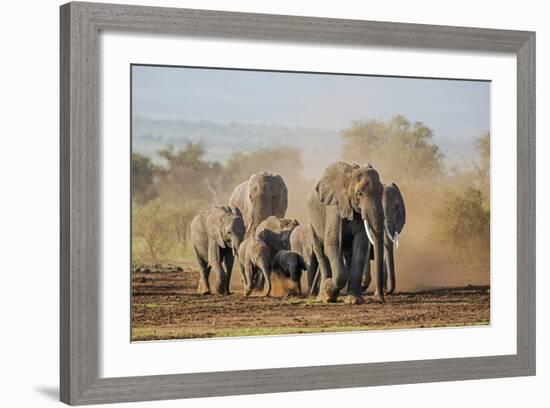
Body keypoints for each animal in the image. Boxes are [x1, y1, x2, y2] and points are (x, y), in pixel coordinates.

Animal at [306, 161, 388, 304]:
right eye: (359, 194)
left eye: (382, 192)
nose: (380, 299)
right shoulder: (334, 207)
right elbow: (331, 243)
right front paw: (328, 290)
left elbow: (360, 247)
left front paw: (354, 301)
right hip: (312, 221)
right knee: (320, 250)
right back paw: (324, 297)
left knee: (349, 253)